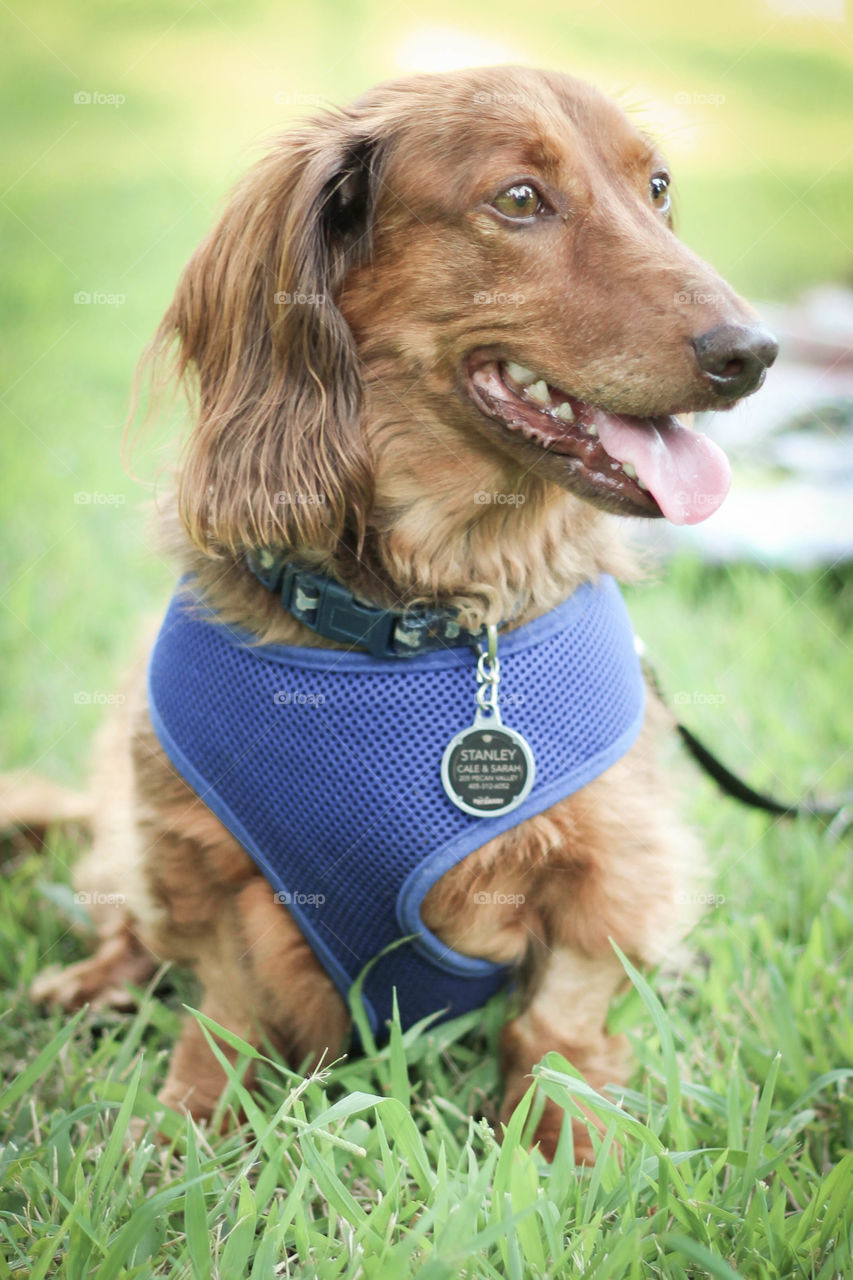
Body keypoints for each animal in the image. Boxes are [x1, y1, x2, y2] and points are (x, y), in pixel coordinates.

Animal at [13, 64, 773, 1162]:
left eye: (658, 186)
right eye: (519, 199)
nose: (751, 352)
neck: (426, 618)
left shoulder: (613, 864)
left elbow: (559, 1017)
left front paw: (566, 1140)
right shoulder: (200, 858)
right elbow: (225, 1010)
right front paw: (186, 1130)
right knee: (129, 925)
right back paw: (93, 982)